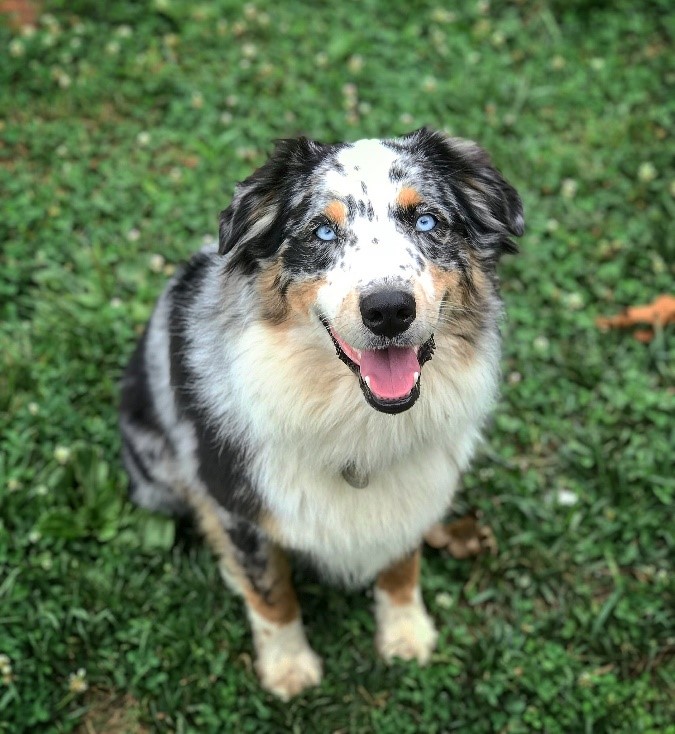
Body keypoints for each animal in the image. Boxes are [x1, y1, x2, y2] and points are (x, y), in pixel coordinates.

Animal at [120, 128, 524, 700]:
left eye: (426, 222)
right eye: (323, 231)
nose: (388, 310)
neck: (357, 420)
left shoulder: (413, 492)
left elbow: (403, 564)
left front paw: (406, 633)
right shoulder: (237, 502)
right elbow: (271, 592)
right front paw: (289, 667)